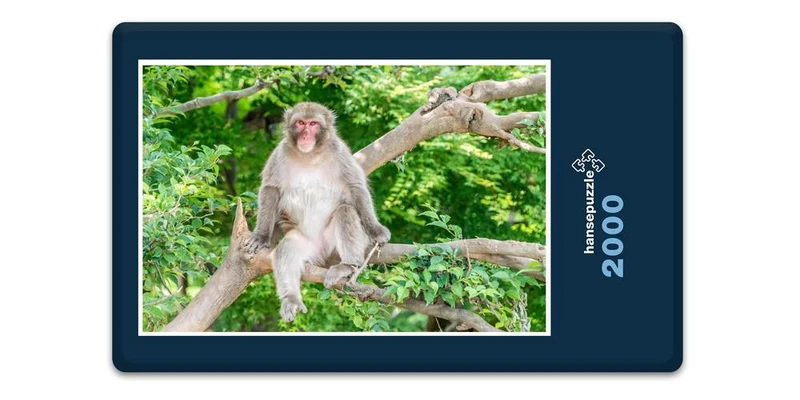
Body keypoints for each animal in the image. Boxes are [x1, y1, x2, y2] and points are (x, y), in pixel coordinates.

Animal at [242, 102, 391, 322]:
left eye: (313, 124)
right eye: (300, 123)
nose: (305, 135)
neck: (309, 156)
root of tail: (323, 252)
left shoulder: (340, 152)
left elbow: (355, 187)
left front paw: (376, 230)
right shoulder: (280, 154)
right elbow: (271, 189)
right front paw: (261, 236)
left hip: (333, 246)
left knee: (345, 211)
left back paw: (347, 265)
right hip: (307, 244)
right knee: (287, 248)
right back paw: (291, 299)